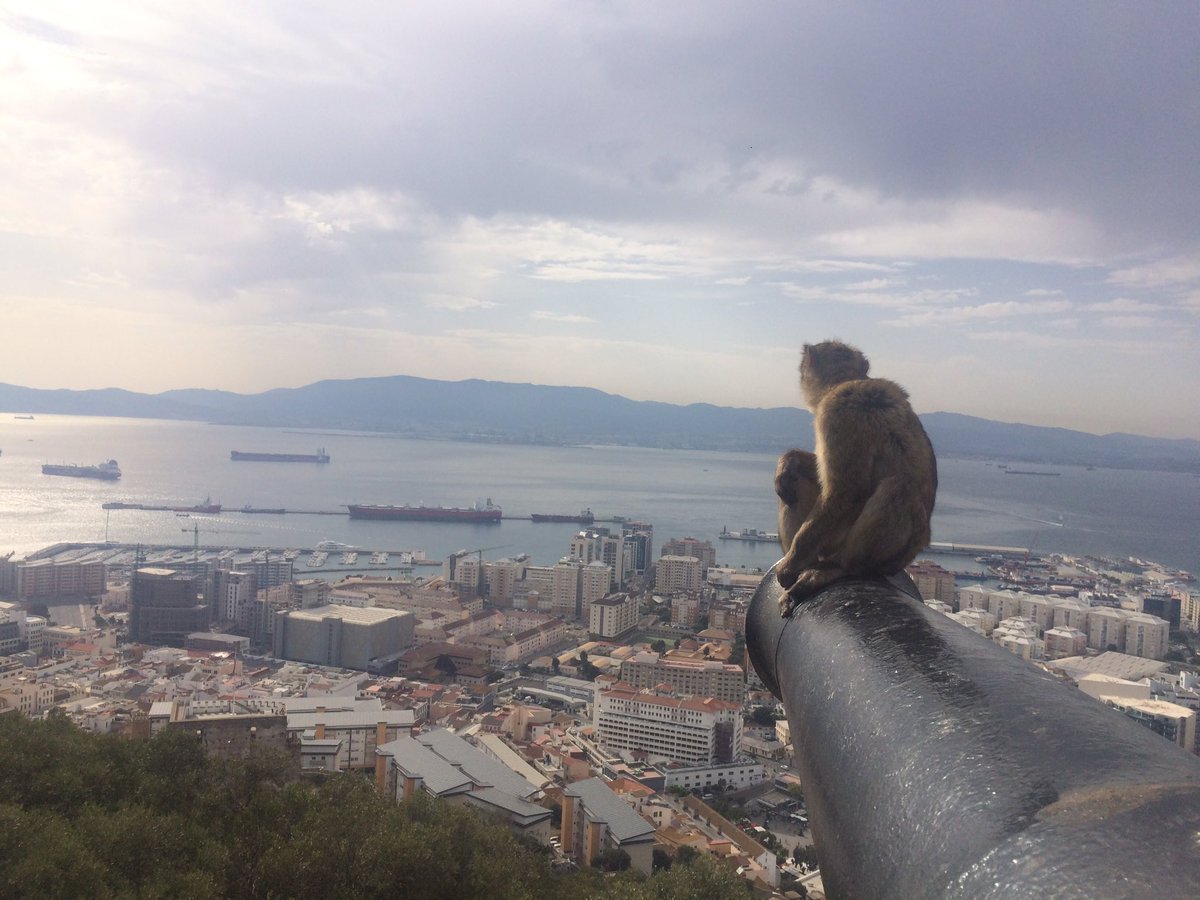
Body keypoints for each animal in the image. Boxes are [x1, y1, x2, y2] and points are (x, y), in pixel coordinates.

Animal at [774, 340, 937, 616]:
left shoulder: (838, 410)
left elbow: (845, 491)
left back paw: (838, 568)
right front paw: (788, 461)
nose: (801, 375)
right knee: (792, 487)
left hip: (873, 551)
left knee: (899, 487)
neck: (846, 381)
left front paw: (789, 567)